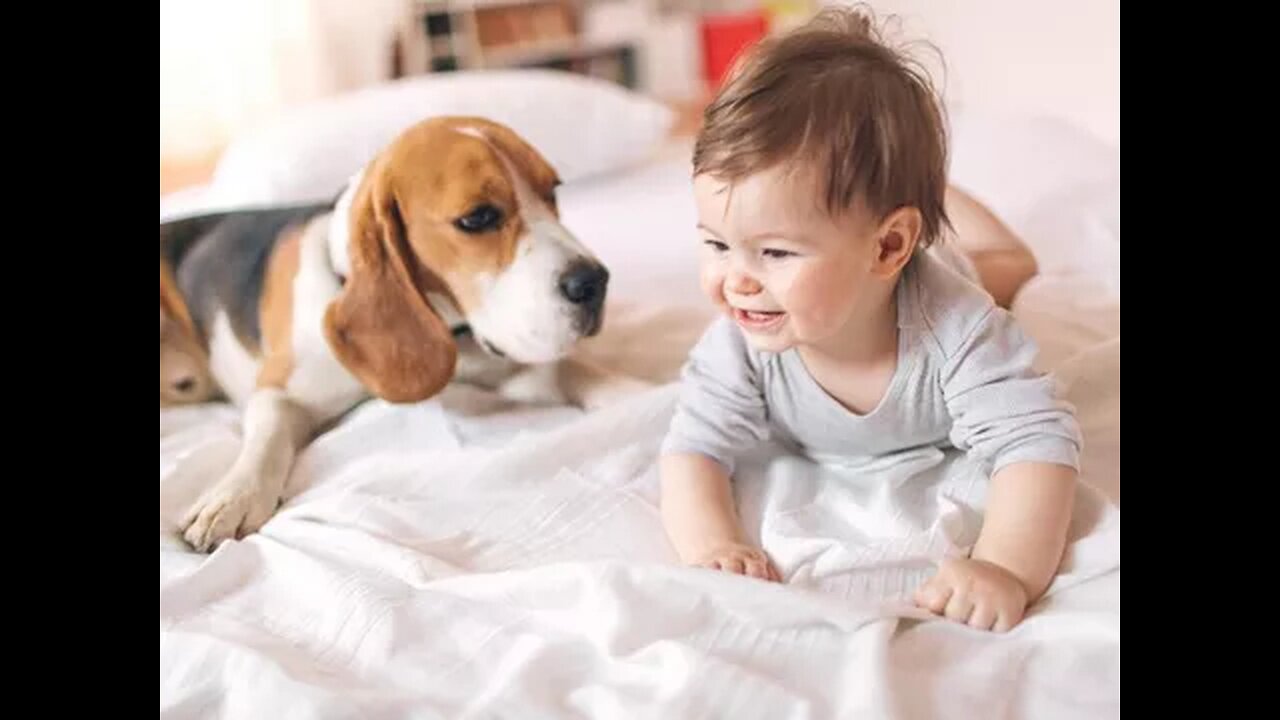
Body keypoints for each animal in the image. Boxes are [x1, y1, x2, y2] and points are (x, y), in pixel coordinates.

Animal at [160, 117, 640, 550]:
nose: (595, 283)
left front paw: (634, 393)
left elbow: (570, 370)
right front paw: (233, 496)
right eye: (478, 217)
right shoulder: (280, 391)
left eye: (553, 191)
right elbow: (267, 437)